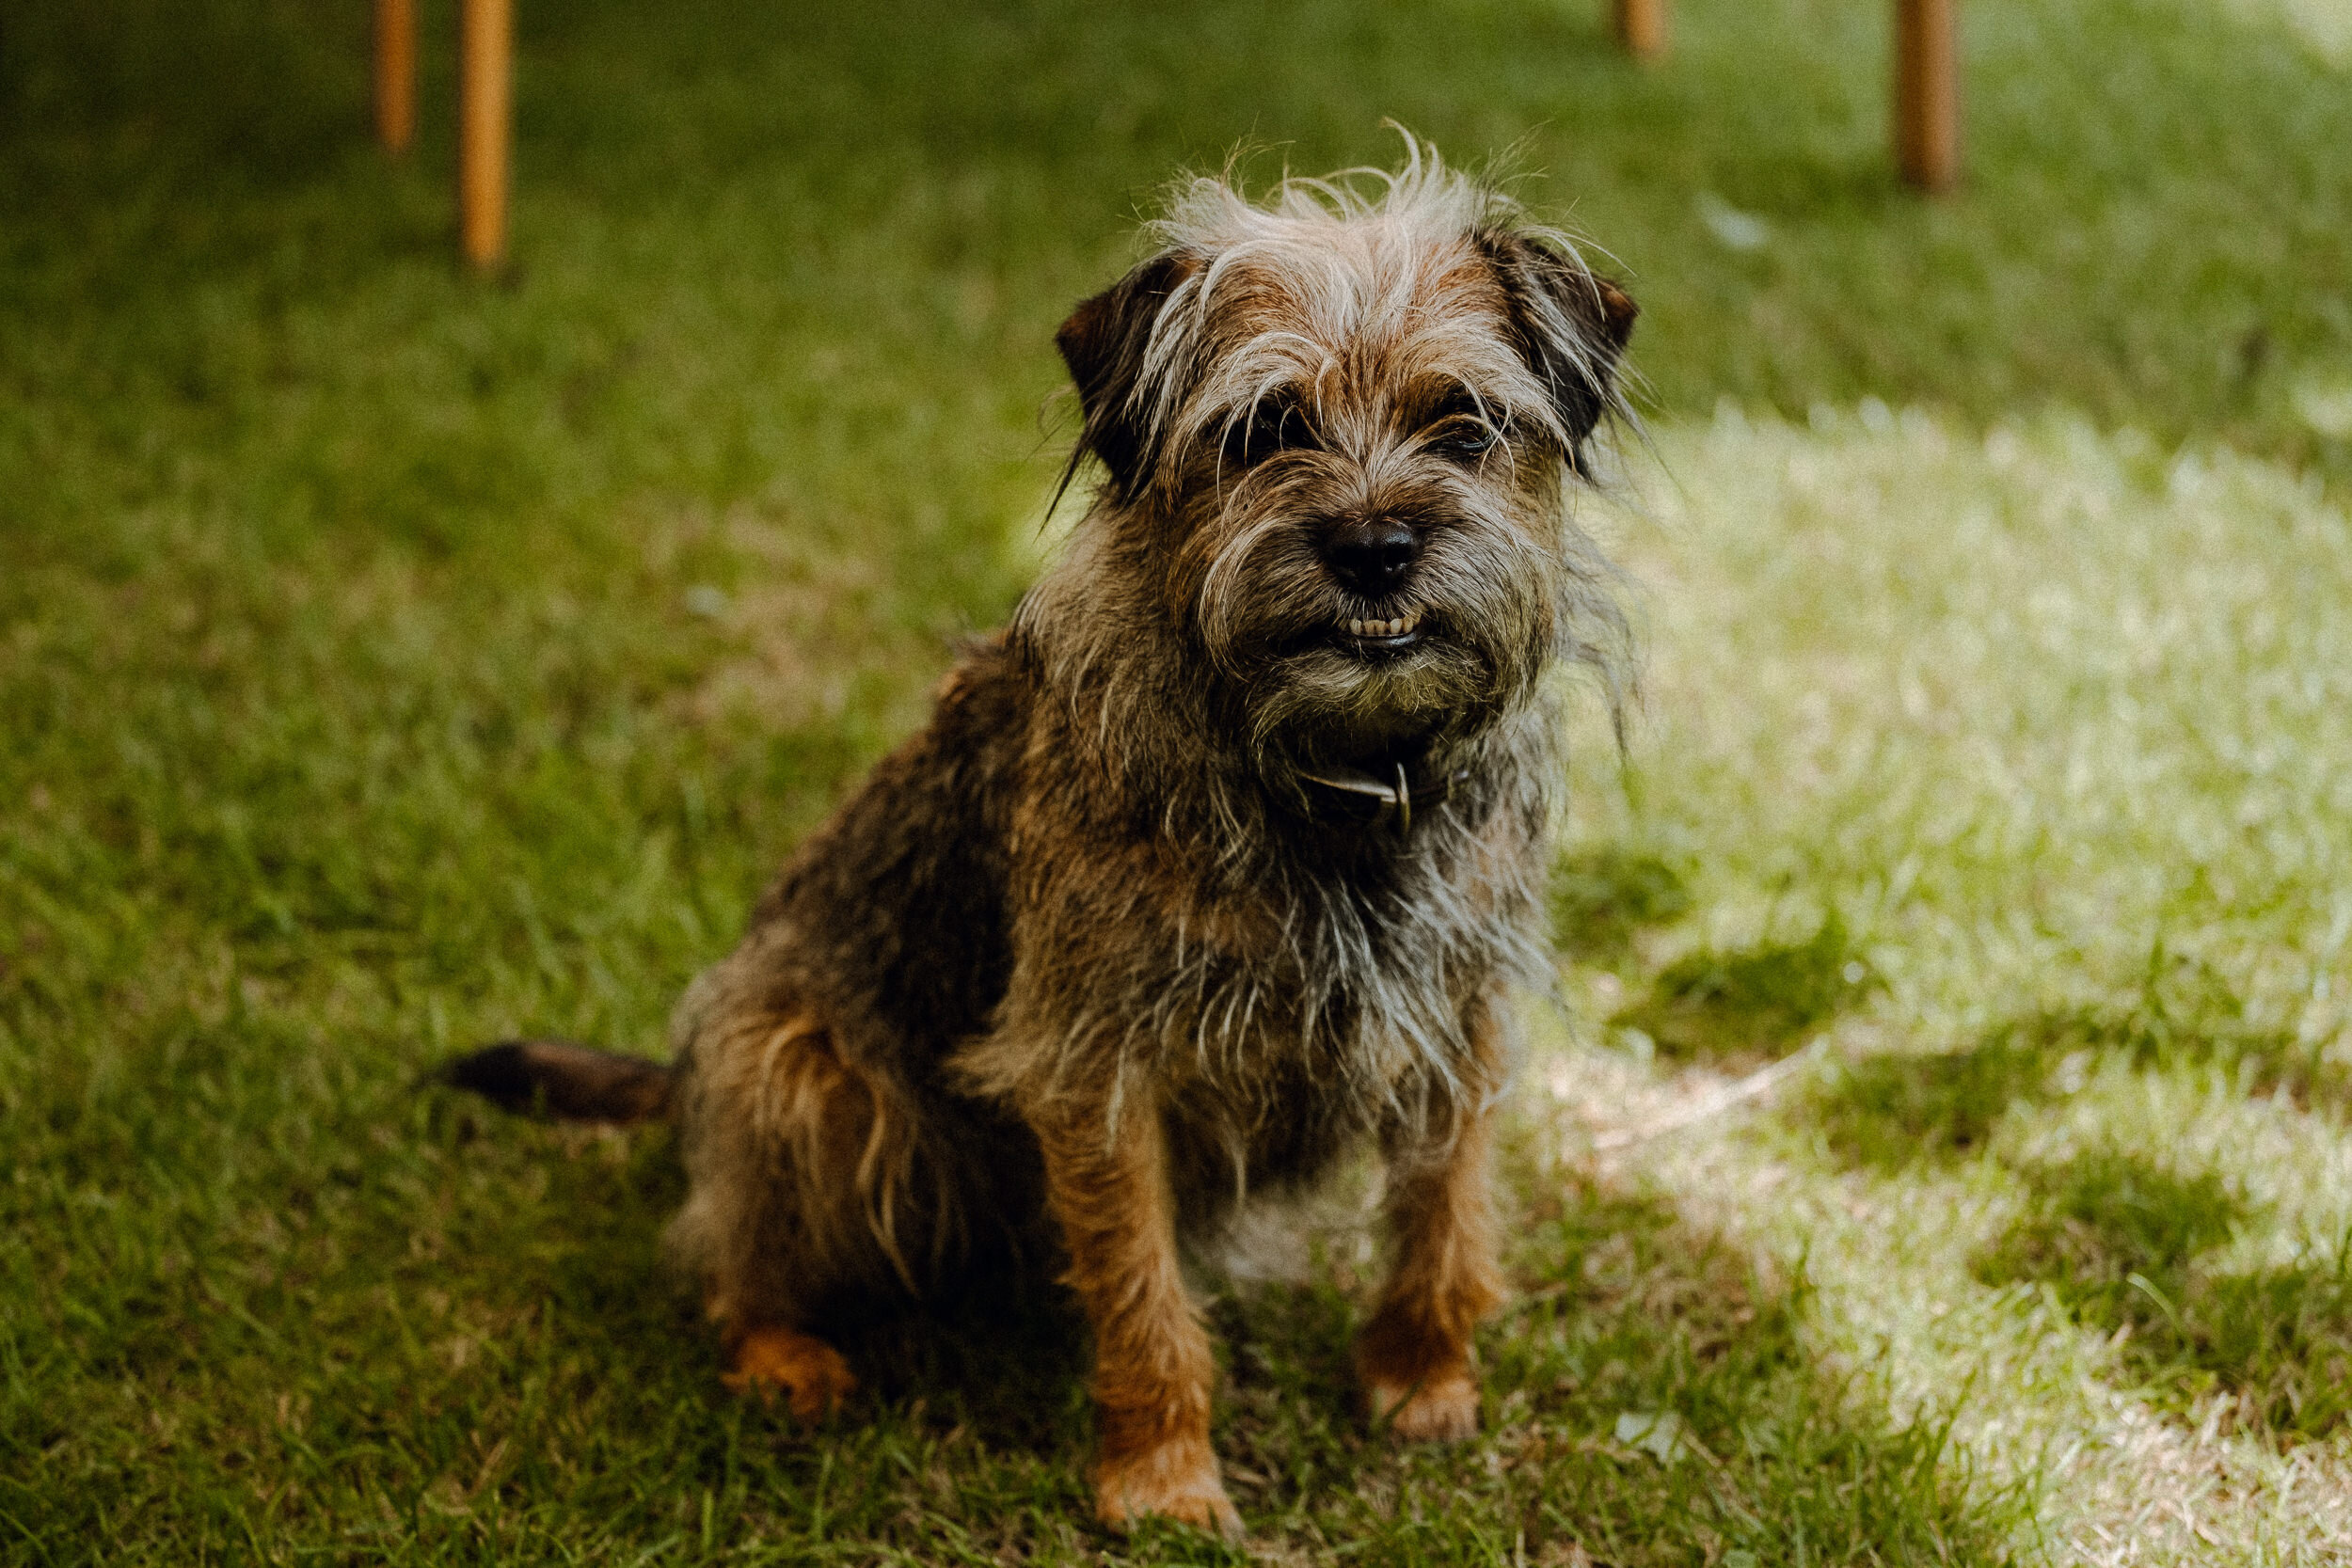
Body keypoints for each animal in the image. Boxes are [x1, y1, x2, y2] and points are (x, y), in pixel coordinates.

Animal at [453, 150, 1637, 1542]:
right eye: (1265, 430)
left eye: (1462, 423)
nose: (1375, 546)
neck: (1328, 773)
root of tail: (691, 1077)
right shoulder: (1099, 1064)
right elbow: (1140, 1289)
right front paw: (1163, 1473)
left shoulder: (1461, 1013)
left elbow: (1445, 1211)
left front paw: (1421, 1375)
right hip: (809, 1070)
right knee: (727, 1257)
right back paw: (784, 1351)